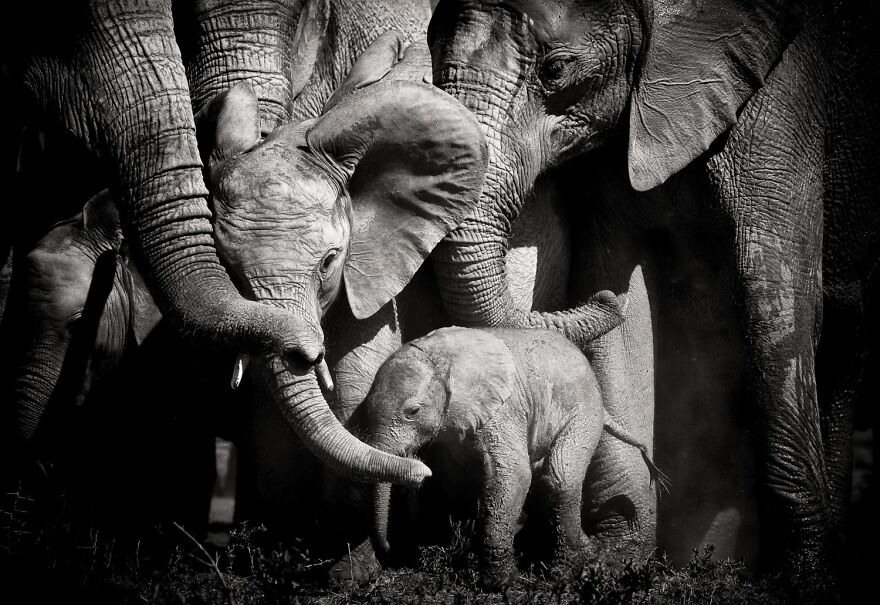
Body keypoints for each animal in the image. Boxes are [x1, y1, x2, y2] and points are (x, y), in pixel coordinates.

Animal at [364, 326, 665, 587]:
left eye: (412, 411)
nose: (390, 549)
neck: (440, 357)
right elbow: (456, 482)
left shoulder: (504, 409)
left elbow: (512, 474)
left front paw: (500, 584)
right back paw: (587, 553)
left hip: (584, 411)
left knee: (559, 476)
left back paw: (567, 572)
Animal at [425, 0, 880, 595]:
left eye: (555, 70)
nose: (596, 301)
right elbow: (623, 311)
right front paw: (614, 562)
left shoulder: (782, 106)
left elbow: (777, 304)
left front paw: (803, 582)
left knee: (845, 336)